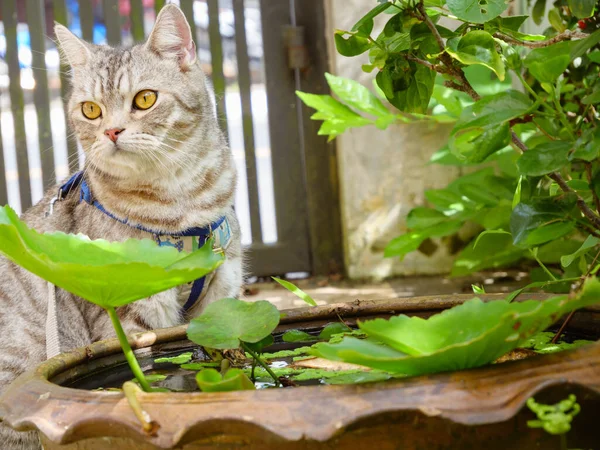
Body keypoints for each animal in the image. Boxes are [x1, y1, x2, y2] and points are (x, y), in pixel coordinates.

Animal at [1, 5, 244, 448]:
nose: (112, 130)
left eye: (145, 99)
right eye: (91, 110)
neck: (181, 201)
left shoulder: (222, 300)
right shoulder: (134, 315)